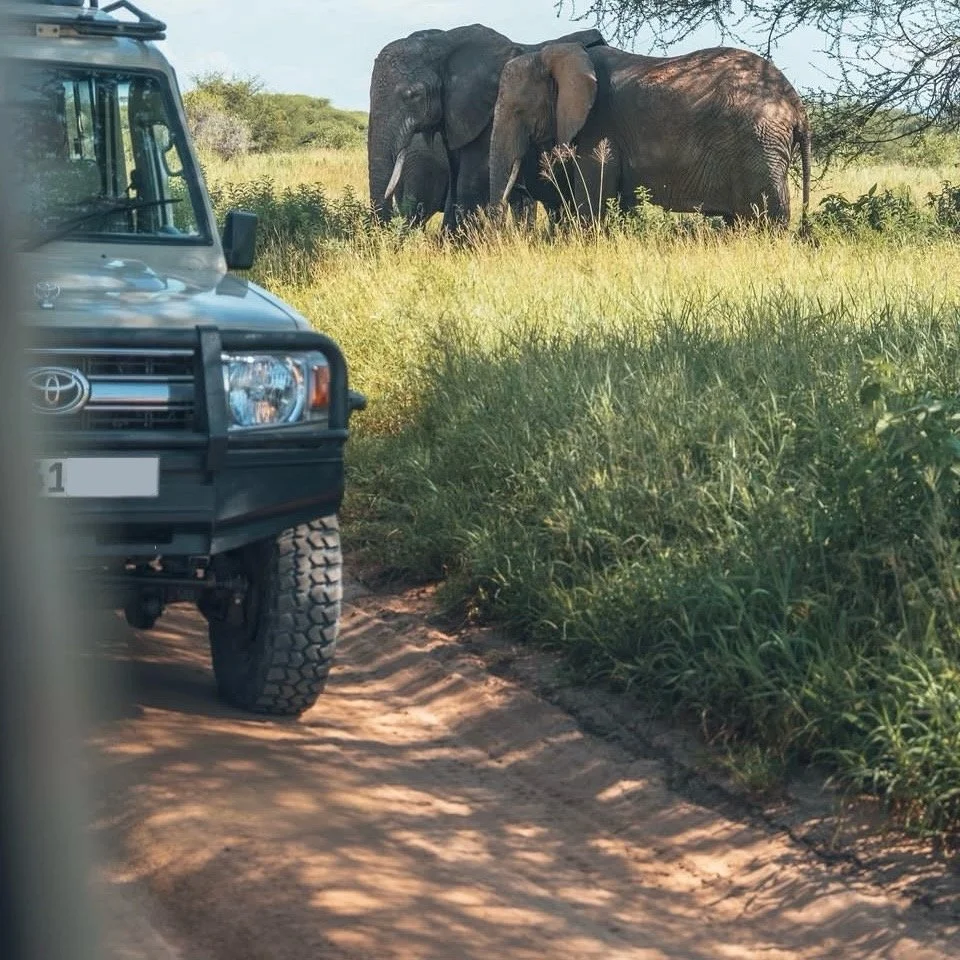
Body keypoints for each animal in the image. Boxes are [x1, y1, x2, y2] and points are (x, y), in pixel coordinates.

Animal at [489, 43, 812, 229]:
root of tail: (796, 103)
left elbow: (593, 201)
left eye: (518, 111)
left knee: (767, 213)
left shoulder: (599, 128)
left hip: (760, 143)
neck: (553, 55)